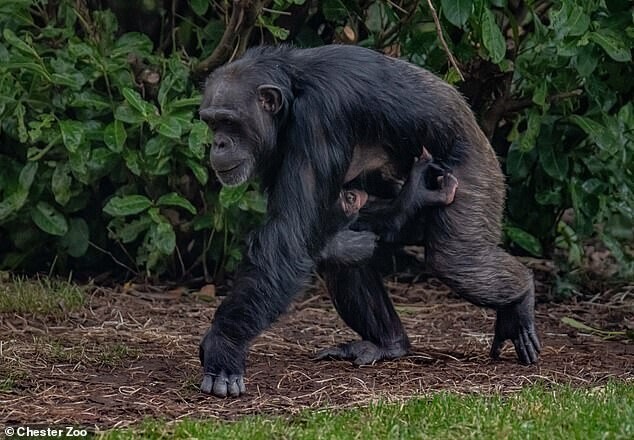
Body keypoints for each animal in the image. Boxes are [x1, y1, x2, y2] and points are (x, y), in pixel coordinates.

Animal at [199, 45, 540, 398]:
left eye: (229, 122)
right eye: (211, 122)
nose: (218, 143)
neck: (292, 94)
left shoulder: (318, 120)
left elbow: (288, 239)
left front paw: (224, 347)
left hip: (474, 173)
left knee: (457, 260)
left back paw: (519, 300)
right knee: (345, 246)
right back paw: (388, 343)